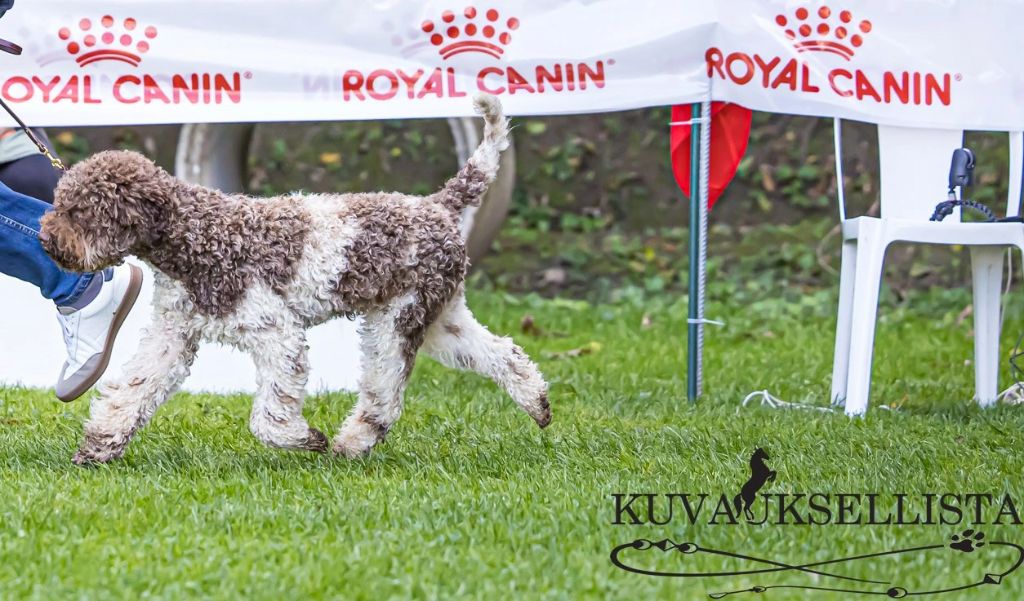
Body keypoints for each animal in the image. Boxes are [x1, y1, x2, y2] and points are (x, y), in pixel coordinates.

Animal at [40, 96, 552, 468]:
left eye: (80, 211)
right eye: (62, 203)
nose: (46, 240)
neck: (197, 235)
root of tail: (437, 205)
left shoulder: (277, 334)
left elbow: (269, 416)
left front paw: (306, 438)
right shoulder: (174, 335)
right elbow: (132, 390)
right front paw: (100, 445)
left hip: (397, 321)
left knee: (384, 396)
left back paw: (350, 444)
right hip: (442, 318)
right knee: (505, 354)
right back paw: (538, 404)